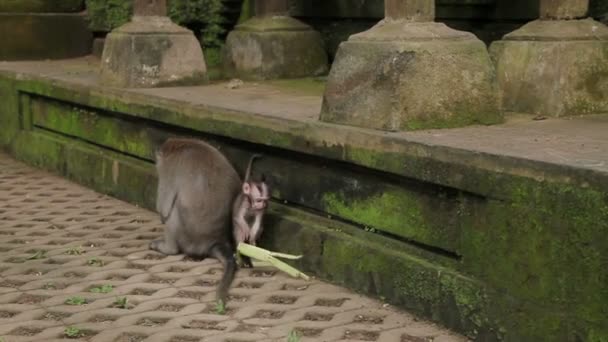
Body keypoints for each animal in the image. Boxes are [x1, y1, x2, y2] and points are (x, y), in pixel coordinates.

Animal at [150, 138, 240, 304]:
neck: (182, 144)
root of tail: (216, 240)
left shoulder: (168, 168)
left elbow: (164, 208)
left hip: (187, 240)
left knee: (174, 209)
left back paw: (169, 249)